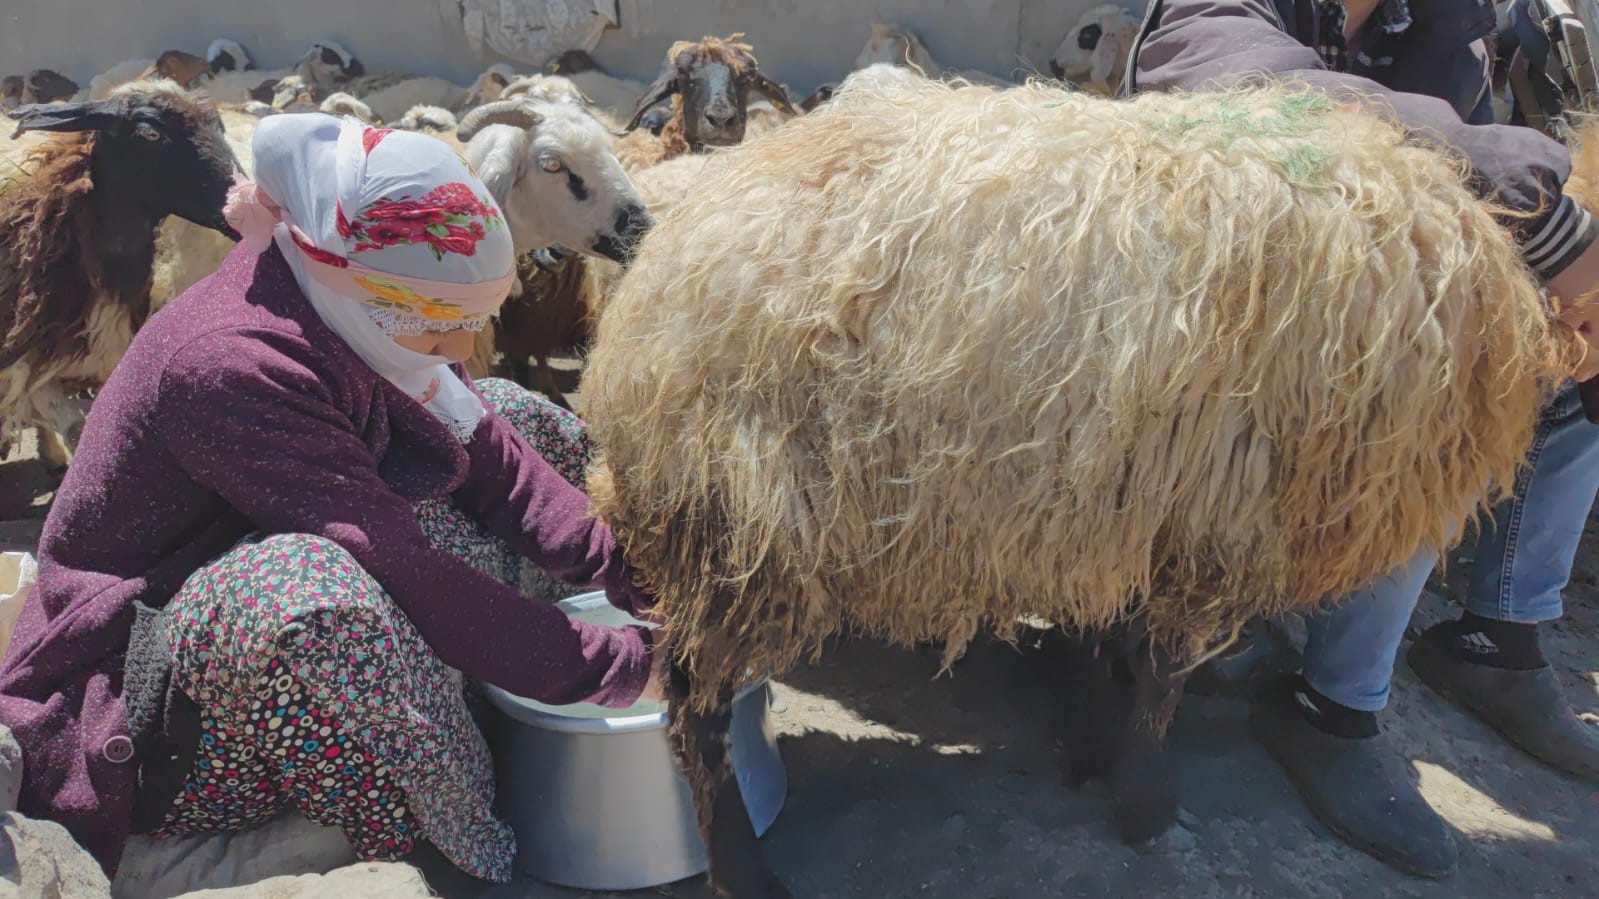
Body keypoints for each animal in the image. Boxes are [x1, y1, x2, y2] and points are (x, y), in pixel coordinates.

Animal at [585, 71, 1573, 895]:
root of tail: (655, 272)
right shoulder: (1211, 516)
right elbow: (1162, 670)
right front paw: (1145, 804)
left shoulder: (1115, 496)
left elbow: (1112, 639)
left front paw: (1089, 745)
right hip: (741, 523)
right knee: (694, 713)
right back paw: (742, 871)